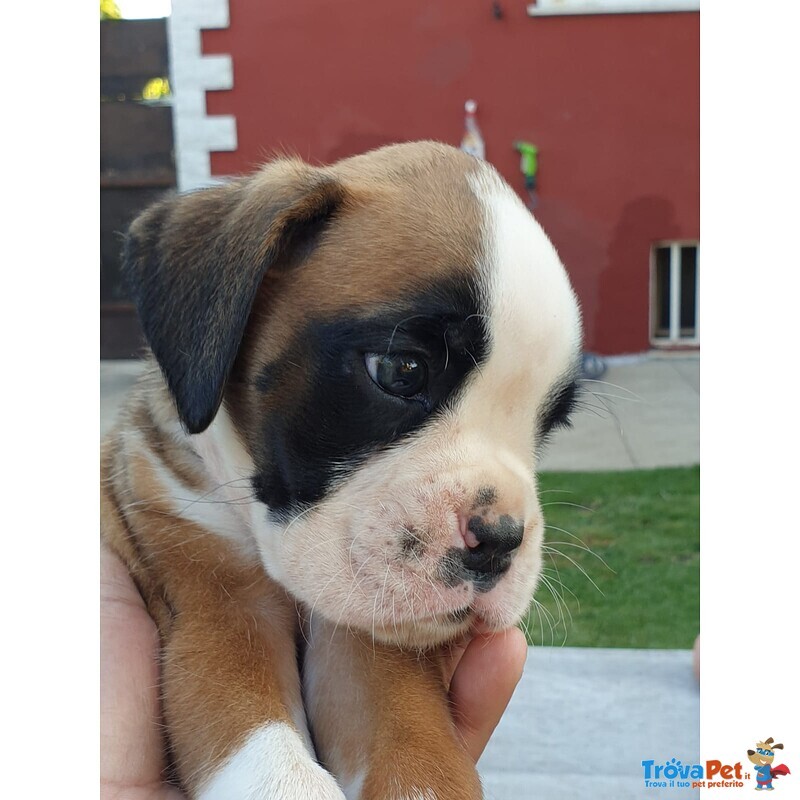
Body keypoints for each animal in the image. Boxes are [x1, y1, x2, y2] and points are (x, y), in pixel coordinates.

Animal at [101, 141, 580, 796]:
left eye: (549, 423)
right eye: (401, 370)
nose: (502, 540)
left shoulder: (370, 647)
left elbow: (419, 756)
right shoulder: (216, 613)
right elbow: (264, 751)